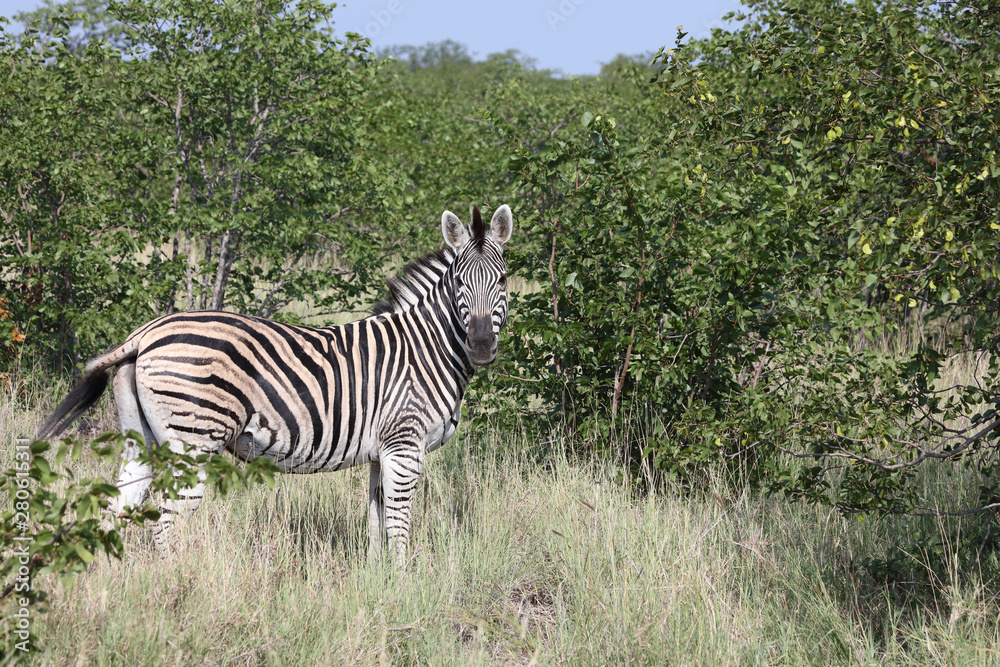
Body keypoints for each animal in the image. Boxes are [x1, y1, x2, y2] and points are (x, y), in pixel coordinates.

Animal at [37, 204, 514, 563]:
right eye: (459, 281)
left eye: (503, 280)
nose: (481, 345)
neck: (427, 346)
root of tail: (143, 334)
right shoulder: (404, 444)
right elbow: (398, 525)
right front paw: (403, 585)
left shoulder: (382, 452)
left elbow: (375, 524)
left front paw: (376, 583)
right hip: (194, 441)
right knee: (166, 521)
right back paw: (174, 586)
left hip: (143, 440)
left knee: (116, 508)